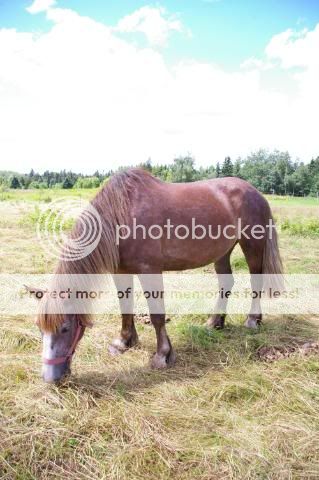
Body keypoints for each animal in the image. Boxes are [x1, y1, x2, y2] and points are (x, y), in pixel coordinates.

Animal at [31, 168, 284, 382]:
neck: (121, 214)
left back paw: (252, 320)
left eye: (65, 328)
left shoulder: (149, 270)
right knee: (226, 283)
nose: (51, 379)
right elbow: (125, 307)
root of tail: (255, 192)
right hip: (222, 251)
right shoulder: (121, 271)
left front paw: (163, 355)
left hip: (252, 245)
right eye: (40, 329)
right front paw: (124, 342)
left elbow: (157, 315)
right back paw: (215, 322)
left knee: (255, 281)